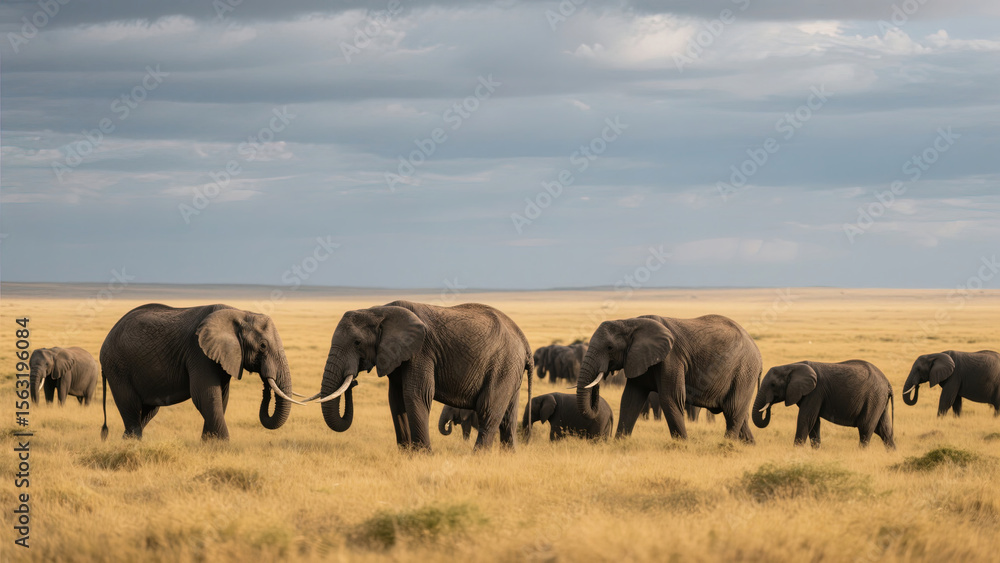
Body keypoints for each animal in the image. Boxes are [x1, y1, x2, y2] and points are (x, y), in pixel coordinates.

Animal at [99, 304, 304, 441]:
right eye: (262, 346)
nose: (265, 387)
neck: (241, 313)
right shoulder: (198, 352)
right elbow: (205, 395)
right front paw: (221, 446)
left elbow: (221, 397)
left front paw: (209, 444)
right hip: (117, 367)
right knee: (131, 405)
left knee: (148, 410)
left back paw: (129, 442)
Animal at [312, 300, 533, 451]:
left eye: (357, 343)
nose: (354, 381)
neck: (378, 310)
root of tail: (524, 339)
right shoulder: (397, 356)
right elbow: (396, 400)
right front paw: (406, 454)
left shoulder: (421, 351)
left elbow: (416, 395)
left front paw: (423, 455)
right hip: (510, 368)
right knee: (508, 417)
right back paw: (508, 456)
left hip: (502, 364)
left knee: (488, 409)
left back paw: (478, 457)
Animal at [577, 314, 761, 443]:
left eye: (609, 347)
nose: (603, 374)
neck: (630, 322)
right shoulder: (638, 358)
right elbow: (630, 399)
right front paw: (619, 444)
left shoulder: (671, 358)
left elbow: (670, 398)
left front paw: (683, 446)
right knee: (740, 415)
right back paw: (748, 446)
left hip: (744, 370)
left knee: (733, 410)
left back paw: (726, 446)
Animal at [752, 360, 895, 449]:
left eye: (773, 385)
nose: (769, 405)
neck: (791, 366)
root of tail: (888, 383)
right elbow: (814, 422)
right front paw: (815, 452)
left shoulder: (815, 392)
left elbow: (806, 419)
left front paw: (796, 451)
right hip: (879, 400)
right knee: (884, 429)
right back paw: (891, 453)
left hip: (873, 398)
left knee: (865, 427)